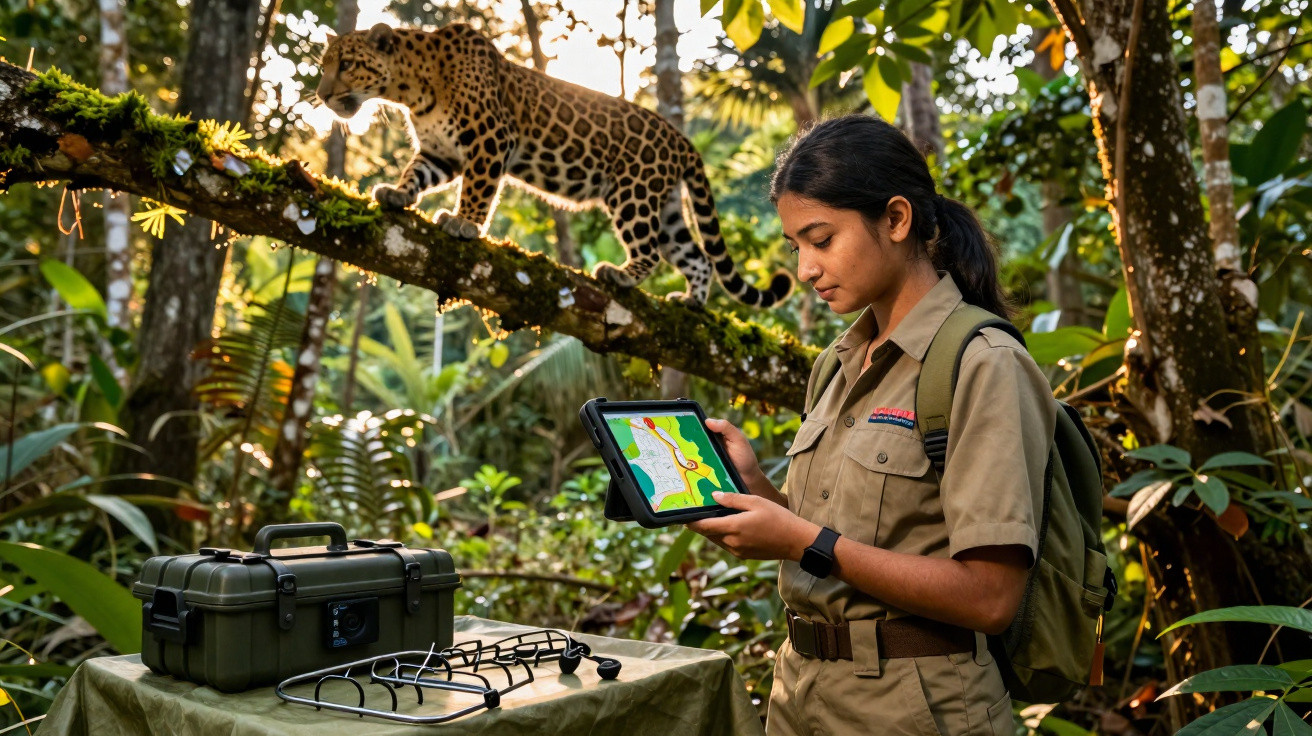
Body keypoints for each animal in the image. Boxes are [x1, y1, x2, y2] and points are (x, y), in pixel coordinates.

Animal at [316, 23, 793, 307]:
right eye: (324, 66)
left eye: (348, 65)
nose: (319, 95)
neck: (412, 89)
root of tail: (682, 140)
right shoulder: (440, 152)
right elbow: (416, 173)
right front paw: (397, 193)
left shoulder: (491, 138)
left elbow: (478, 188)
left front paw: (464, 223)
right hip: (667, 204)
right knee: (697, 255)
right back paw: (692, 301)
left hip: (633, 194)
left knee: (651, 250)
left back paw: (620, 275)